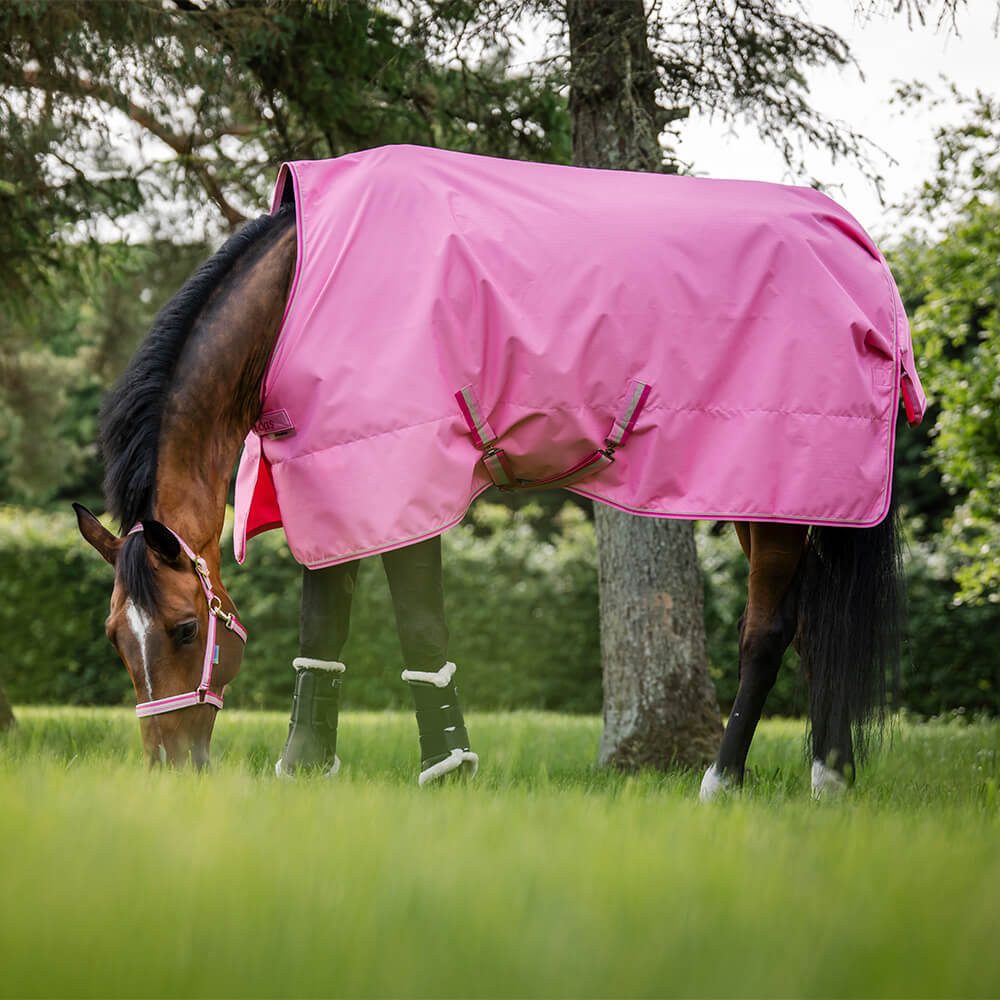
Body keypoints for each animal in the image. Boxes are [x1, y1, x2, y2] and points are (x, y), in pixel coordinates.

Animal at [75, 144, 924, 794]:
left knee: (767, 628)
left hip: (778, 493)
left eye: (185, 628)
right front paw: (305, 767)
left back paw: (723, 782)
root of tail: (861, 254)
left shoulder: (401, 476)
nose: (171, 769)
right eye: (117, 637)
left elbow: (419, 627)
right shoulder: (333, 476)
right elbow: (324, 626)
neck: (305, 287)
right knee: (811, 623)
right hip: (775, 495)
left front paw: (448, 767)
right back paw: (830, 777)